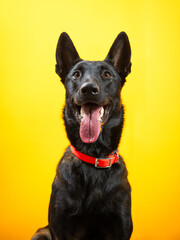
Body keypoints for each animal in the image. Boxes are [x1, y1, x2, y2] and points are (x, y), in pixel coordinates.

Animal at [31, 31, 132, 240]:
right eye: (76, 74)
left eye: (107, 74)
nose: (89, 89)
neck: (94, 156)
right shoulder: (61, 228)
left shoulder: (121, 227)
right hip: (41, 233)